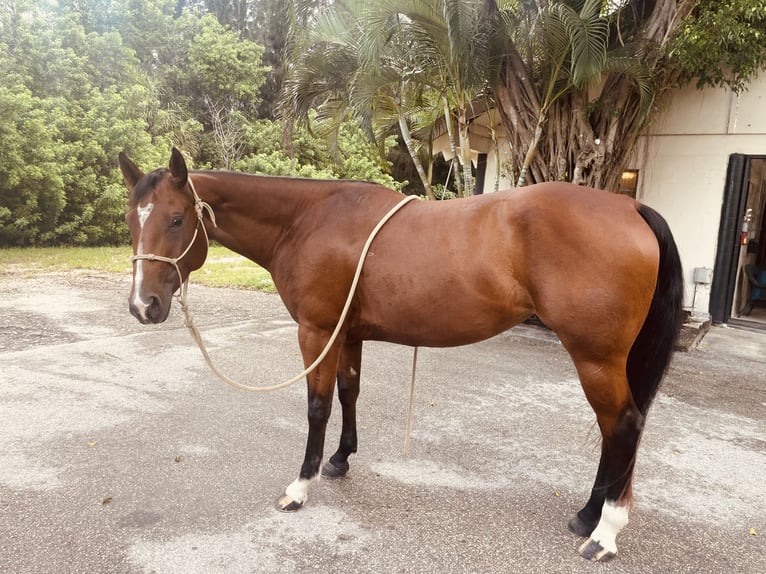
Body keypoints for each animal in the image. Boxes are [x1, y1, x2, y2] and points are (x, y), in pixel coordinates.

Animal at [118, 148, 683, 562]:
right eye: (131, 220)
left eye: (176, 219)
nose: (143, 306)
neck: (309, 219)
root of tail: (629, 206)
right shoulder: (347, 334)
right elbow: (349, 392)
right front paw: (340, 460)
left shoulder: (316, 332)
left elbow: (317, 406)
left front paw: (300, 486)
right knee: (618, 430)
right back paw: (588, 515)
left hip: (595, 358)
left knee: (622, 425)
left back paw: (604, 532)